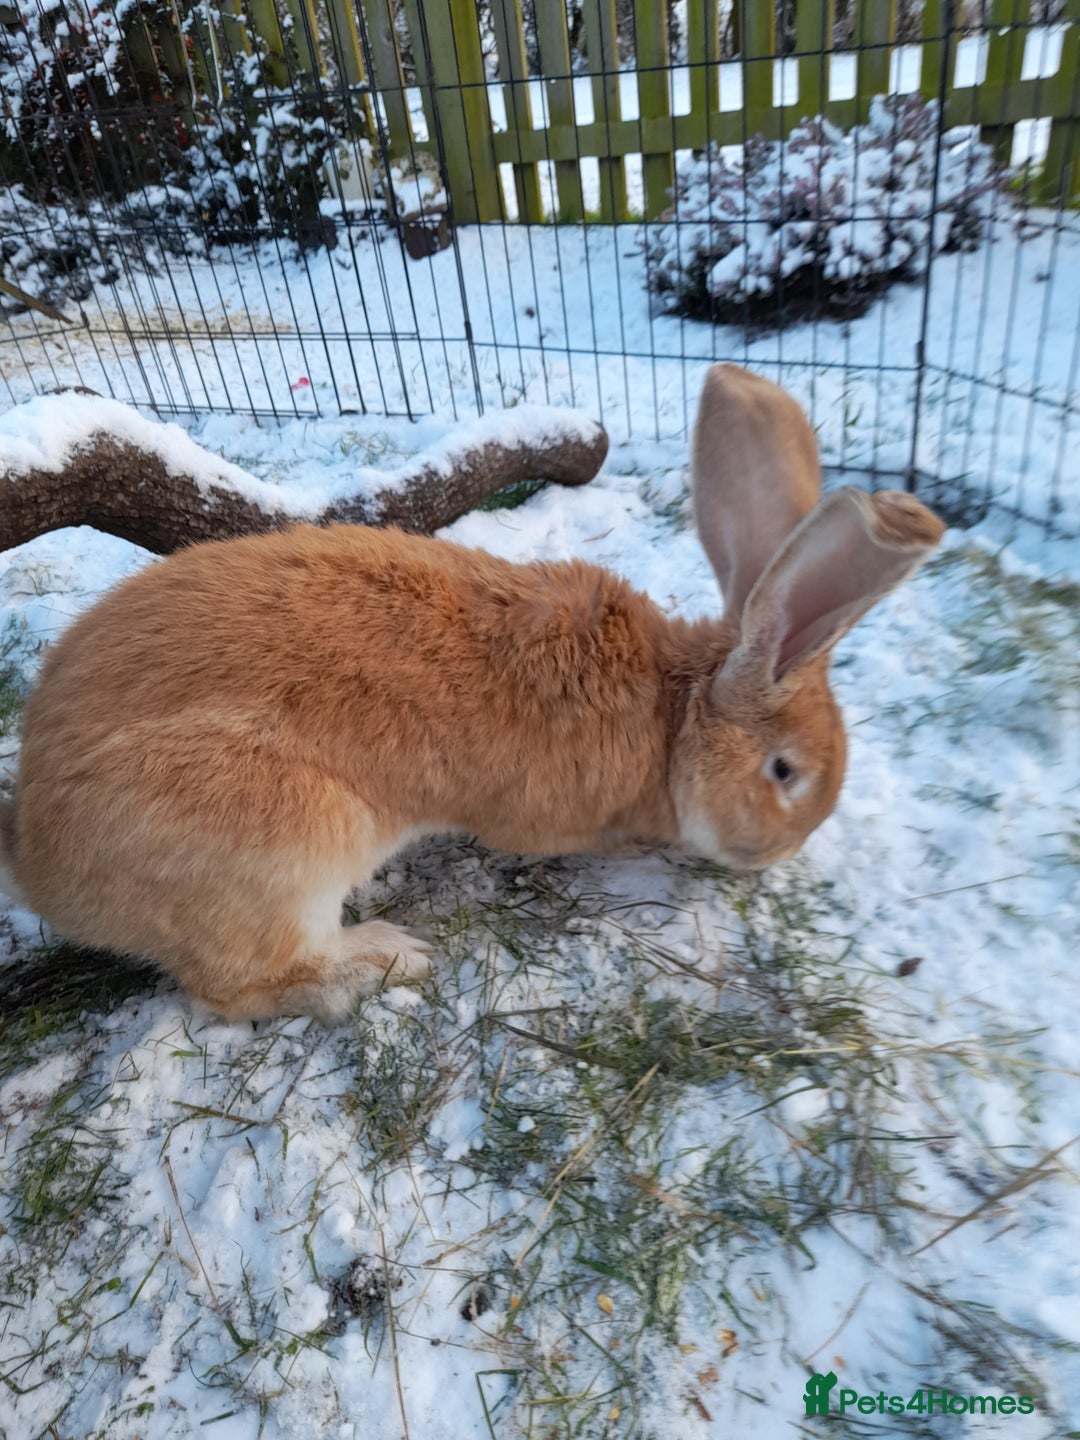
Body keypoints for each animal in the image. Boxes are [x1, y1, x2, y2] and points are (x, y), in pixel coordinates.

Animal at [0, 365, 944, 1023]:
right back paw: (380, 960)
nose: (779, 856)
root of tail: (37, 862)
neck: (673, 716)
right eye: (786, 773)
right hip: (282, 850)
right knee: (234, 990)